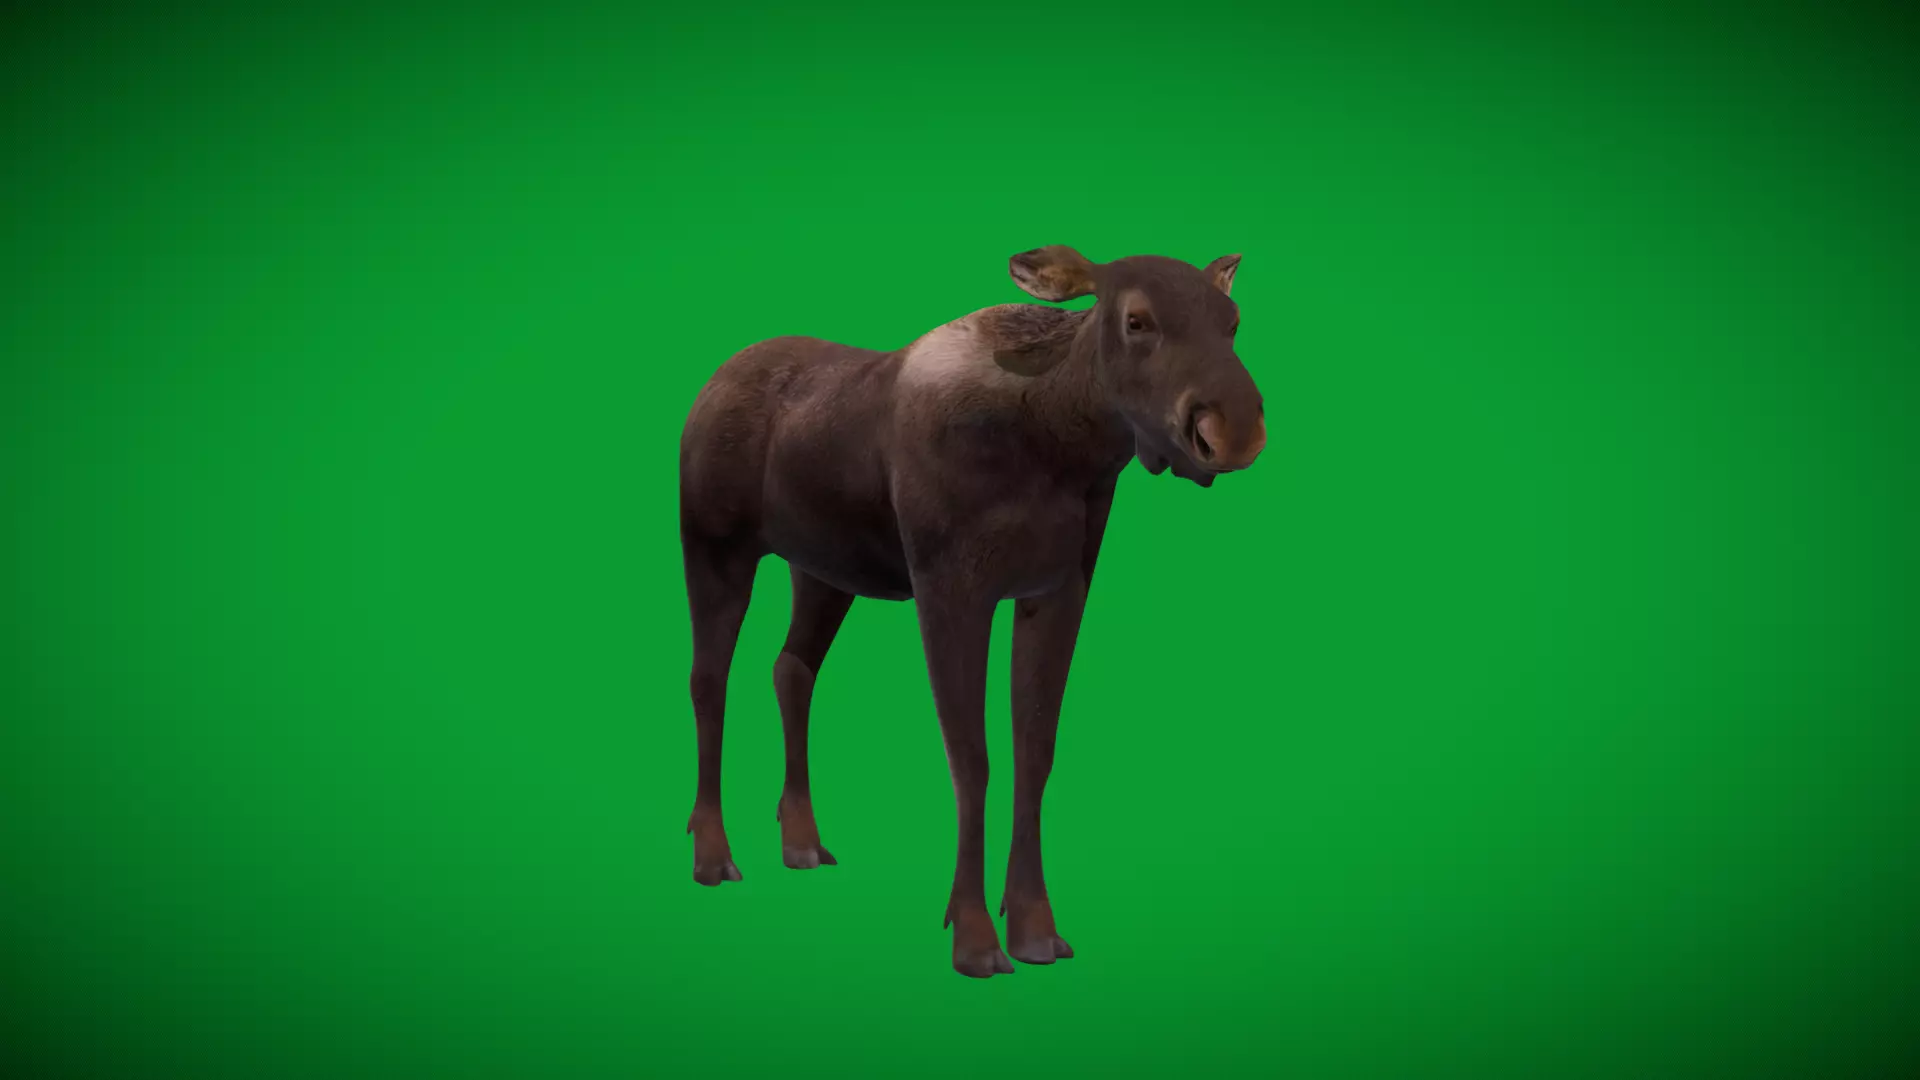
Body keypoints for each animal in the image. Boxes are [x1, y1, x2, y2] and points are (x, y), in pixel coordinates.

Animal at [677, 245, 1267, 978]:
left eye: (1233, 320)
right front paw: (975, 936)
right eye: (1137, 320)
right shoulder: (949, 588)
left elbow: (1034, 751)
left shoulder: (1059, 588)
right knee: (708, 681)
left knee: (791, 668)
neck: (1060, 450)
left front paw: (1037, 928)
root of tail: (708, 386)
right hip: (714, 543)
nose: (1232, 428)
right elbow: (971, 757)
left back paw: (803, 840)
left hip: (820, 567)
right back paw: (712, 853)